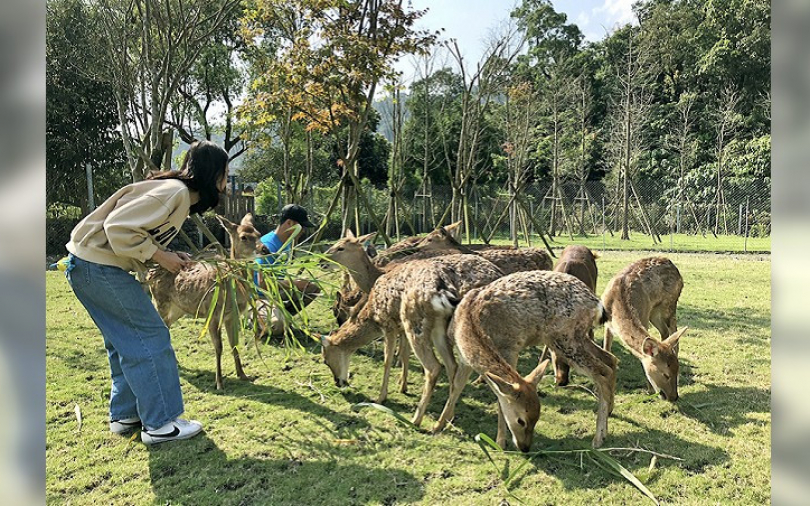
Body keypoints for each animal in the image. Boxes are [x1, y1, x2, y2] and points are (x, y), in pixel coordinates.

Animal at [148, 213, 269, 390]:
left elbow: (234, 344)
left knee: (168, 324)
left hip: (179, 308)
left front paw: (243, 375)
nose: (265, 249)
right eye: (244, 237)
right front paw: (219, 383)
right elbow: (219, 347)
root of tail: (150, 272)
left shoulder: (232, 316)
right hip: (159, 301)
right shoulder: (213, 314)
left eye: (259, 233)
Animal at [321, 253, 503, 418]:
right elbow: (404, 353)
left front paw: (381, 397)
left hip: (416, 324)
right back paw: (448, 417)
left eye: (325, 360)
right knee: (453, 366)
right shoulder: (401, 328)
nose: (338, 382)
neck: (372, 315)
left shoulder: (389, 325)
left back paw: (417, 418)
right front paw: (402, 386)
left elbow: (388, 360)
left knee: (436, 367)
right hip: (440, 329)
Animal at [437, 270, 617, 450]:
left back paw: (598, 438)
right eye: (521, 421)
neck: (469, 323)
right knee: (610, 359)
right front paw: (438, 425)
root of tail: (596, 304)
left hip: (564, 338)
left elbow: (499, 396)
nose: (525, 448)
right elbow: (456, 386)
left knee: (602, 371)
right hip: (574, 337)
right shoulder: (464, 358)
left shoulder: (510, 348)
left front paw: (500, 442)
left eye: (535, 418)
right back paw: (608, 415)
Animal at [601, 256, 687, 401]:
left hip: (669, 305)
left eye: (678, 370)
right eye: (665, 374)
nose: (674, 397)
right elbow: (606, 349)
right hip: (654, 312)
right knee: (665, 333)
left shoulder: (644, 317)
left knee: (673, 332)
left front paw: (649, 390)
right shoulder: (607, 323)